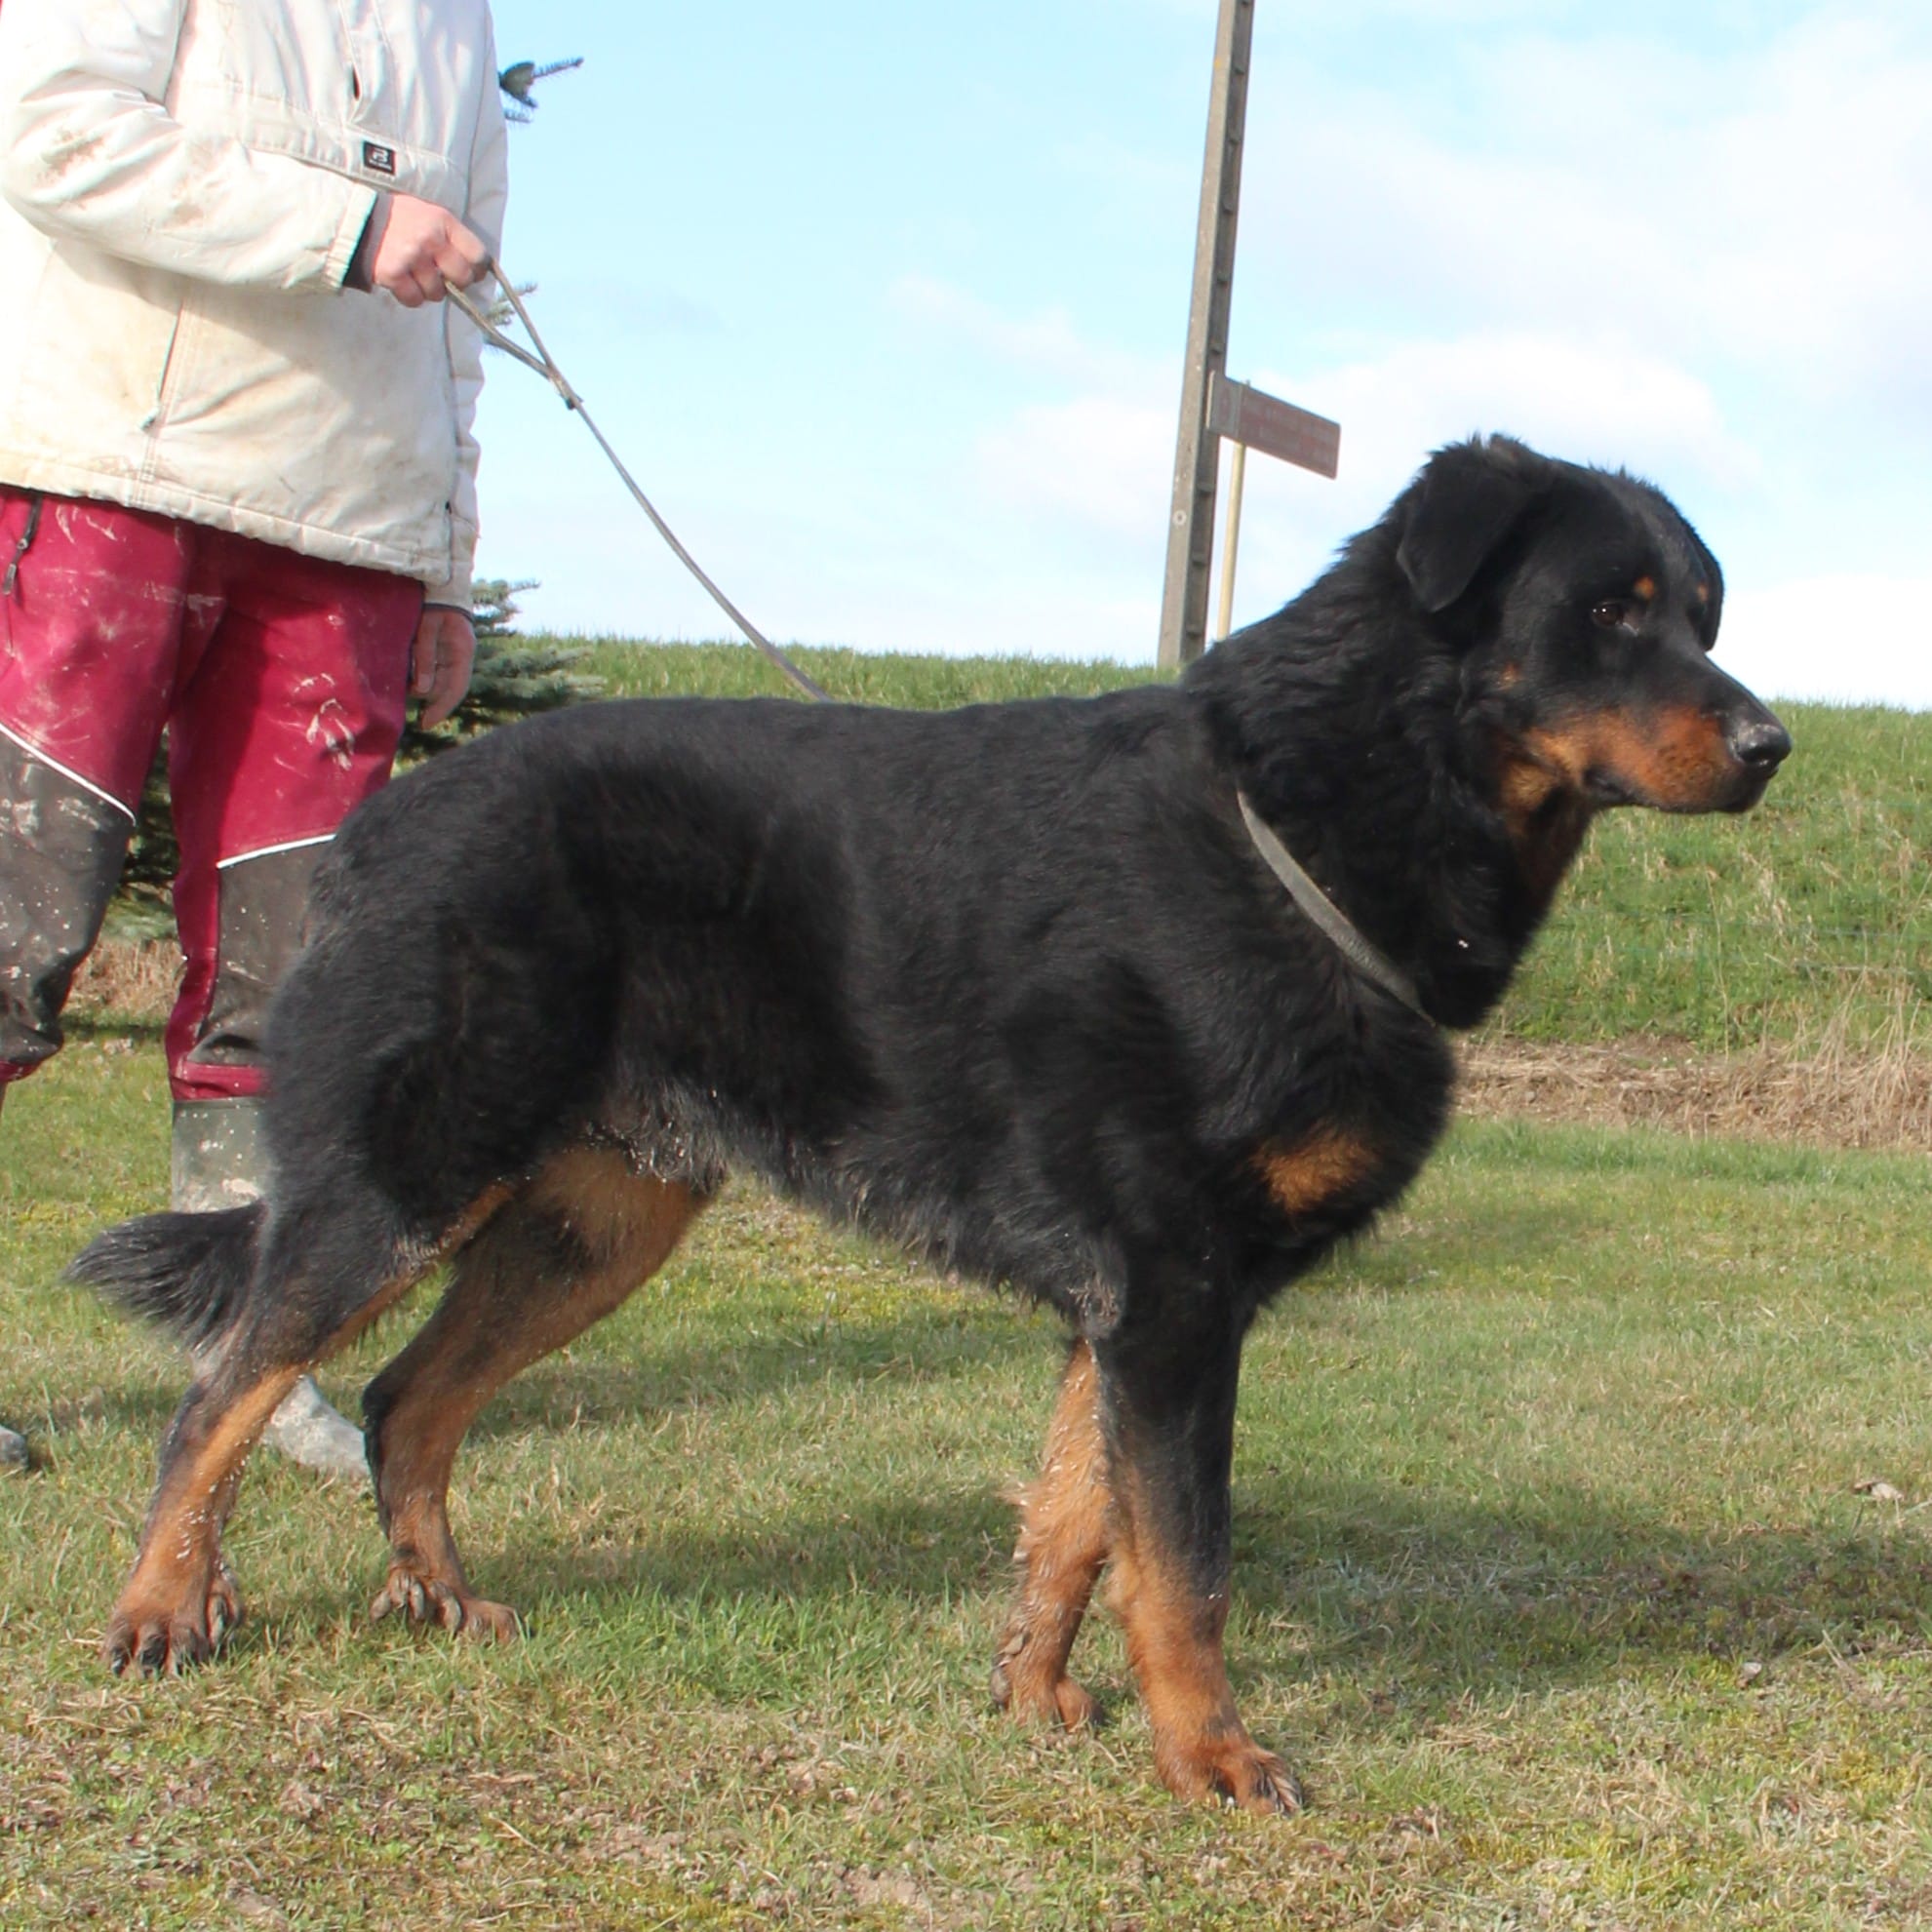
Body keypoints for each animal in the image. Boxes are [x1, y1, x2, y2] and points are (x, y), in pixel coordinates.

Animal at [76, 435, 1789, 1815]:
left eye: (1702, 613)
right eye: (1611, 609)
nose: (1772, 745)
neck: (1297, 826)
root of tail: (375, 822)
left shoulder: (1138, 1306)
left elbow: (1077, 1526)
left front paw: (1031, 1696)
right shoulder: (1172, 1292)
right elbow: (1185, 1561)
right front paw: (1212, 1757)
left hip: (593, 1221)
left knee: (404, 1399)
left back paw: (439, 1600)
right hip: (409, 1173)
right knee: (224, 1389)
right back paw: (163, 1610)